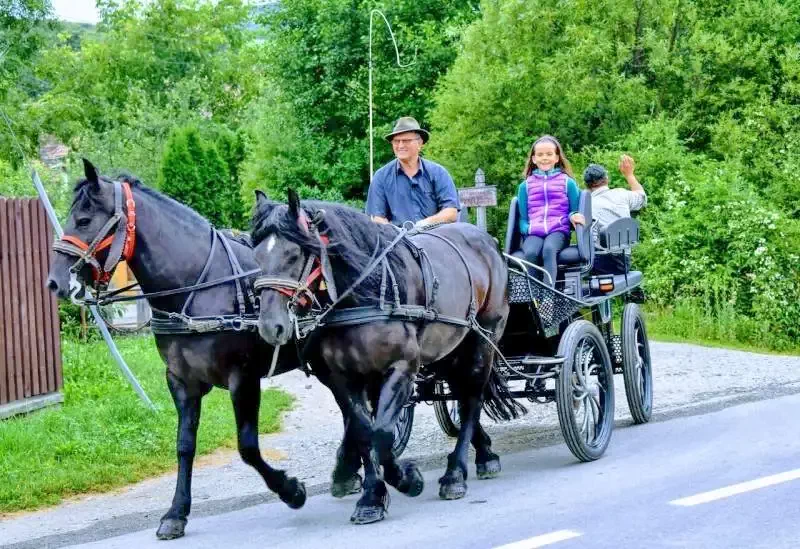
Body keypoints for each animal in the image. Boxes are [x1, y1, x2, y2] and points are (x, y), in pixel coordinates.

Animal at [45, 161, 354, 536]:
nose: (56, 281)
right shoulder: (181, 382)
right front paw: (176, 512)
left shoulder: (243, 379)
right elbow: (184, 445)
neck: (196, 287)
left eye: (84, 220)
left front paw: (290, 490)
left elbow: (248, 447)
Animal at [253, 191, 520, 524]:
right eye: (256, 258)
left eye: (293, 254)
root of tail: (487, 241)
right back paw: (483, 454)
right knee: (461, 393)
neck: (366, 295)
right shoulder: (346, 378)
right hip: (449, 349)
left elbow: (381, 433)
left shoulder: (402, 368)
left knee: (472, 398)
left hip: (483, 341)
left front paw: (406, 479)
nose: (270, 326)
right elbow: (364, 431)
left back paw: (456, 473)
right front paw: (371, 496)